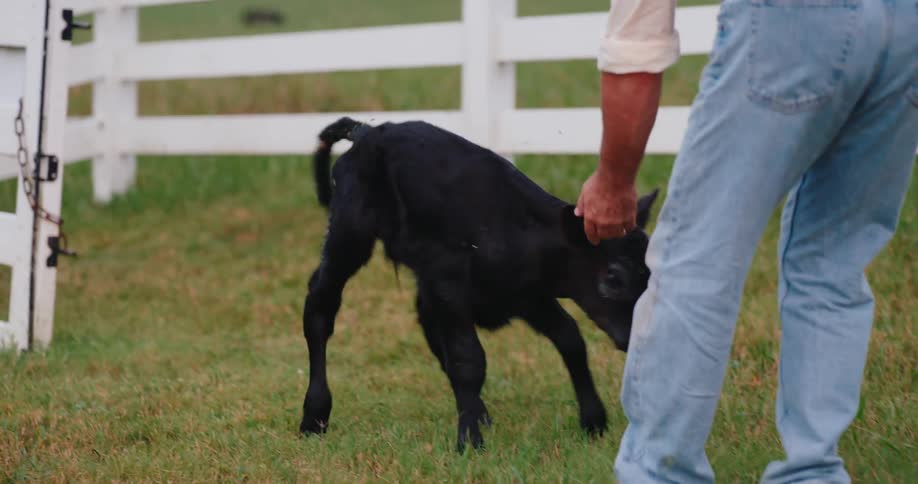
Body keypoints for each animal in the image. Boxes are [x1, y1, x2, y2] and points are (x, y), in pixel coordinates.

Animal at [299, 117, 658, 451]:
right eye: (613, 276)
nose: (637, 338)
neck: (515, 229)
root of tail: (368, 131)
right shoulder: (450, 282)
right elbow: (467, 358)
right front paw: (469, 441)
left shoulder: (529, 294)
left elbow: (570, 339)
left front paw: (593, 421)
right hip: (350, 233)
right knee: (320, 307)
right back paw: (314, 416)